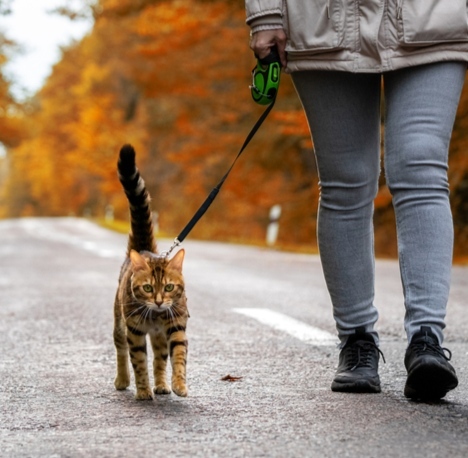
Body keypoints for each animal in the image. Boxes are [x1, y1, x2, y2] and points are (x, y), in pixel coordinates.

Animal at [113, 145, 188, 398]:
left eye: (169, 287)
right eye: (147, 288)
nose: (158, 301)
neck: (156, 316)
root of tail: (142, 248)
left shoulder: (176, 327)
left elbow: (178, 357)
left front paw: (179, 384)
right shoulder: (135, 331)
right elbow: (138, 362)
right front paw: (144, 390)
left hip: (159, 336)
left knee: (160, 358)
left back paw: (163, 384)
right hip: (120, 322)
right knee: (121, 350)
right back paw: (122, 379)